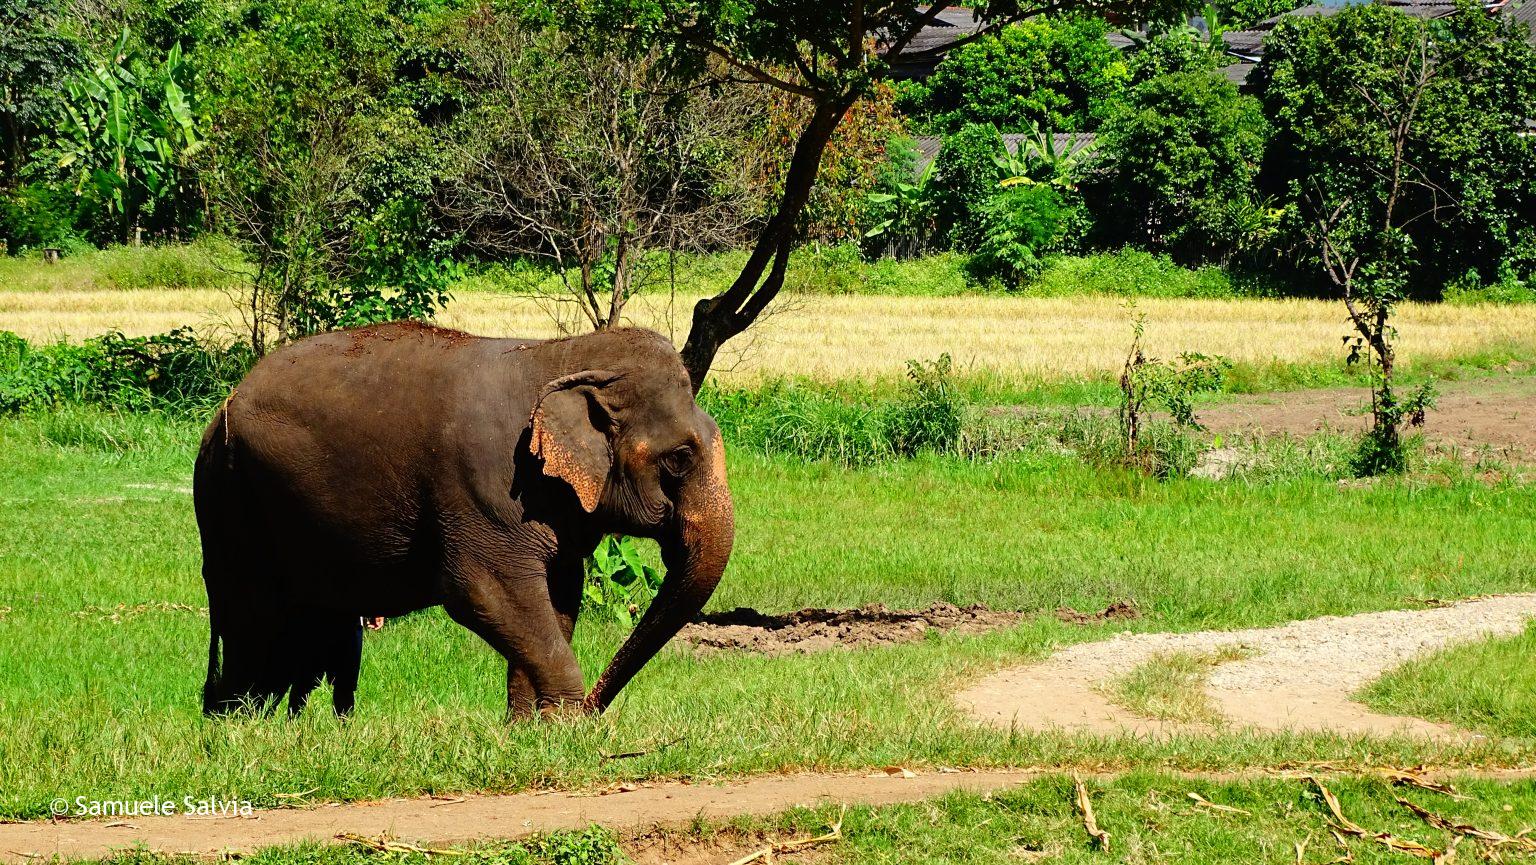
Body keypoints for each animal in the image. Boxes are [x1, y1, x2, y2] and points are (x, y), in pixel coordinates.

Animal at [195, 322, 734, 719]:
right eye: (680, 458)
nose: (594, 711)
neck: (563, 356)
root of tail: (225, 404)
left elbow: (557, 601)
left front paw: (529, 730)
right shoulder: (484, 491)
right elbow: (488, 595)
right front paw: (563, 729)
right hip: (233, 500)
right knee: (253, 615)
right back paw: (239, 721)